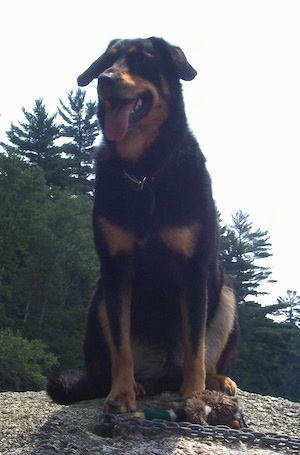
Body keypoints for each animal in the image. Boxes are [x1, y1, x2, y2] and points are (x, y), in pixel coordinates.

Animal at [46, 36, 239, 414]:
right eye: (107, 60)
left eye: (144, 60)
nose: (104, 80)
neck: (145, 171)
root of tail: (162, 374)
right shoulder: (116, 269)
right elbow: (122, 349)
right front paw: (121, 394)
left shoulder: (193, 270)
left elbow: (195, 346)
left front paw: (193, 395)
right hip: (99, 299)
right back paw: (133, 383)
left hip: (225, 295)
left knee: (205, 354)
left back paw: (215, 381)